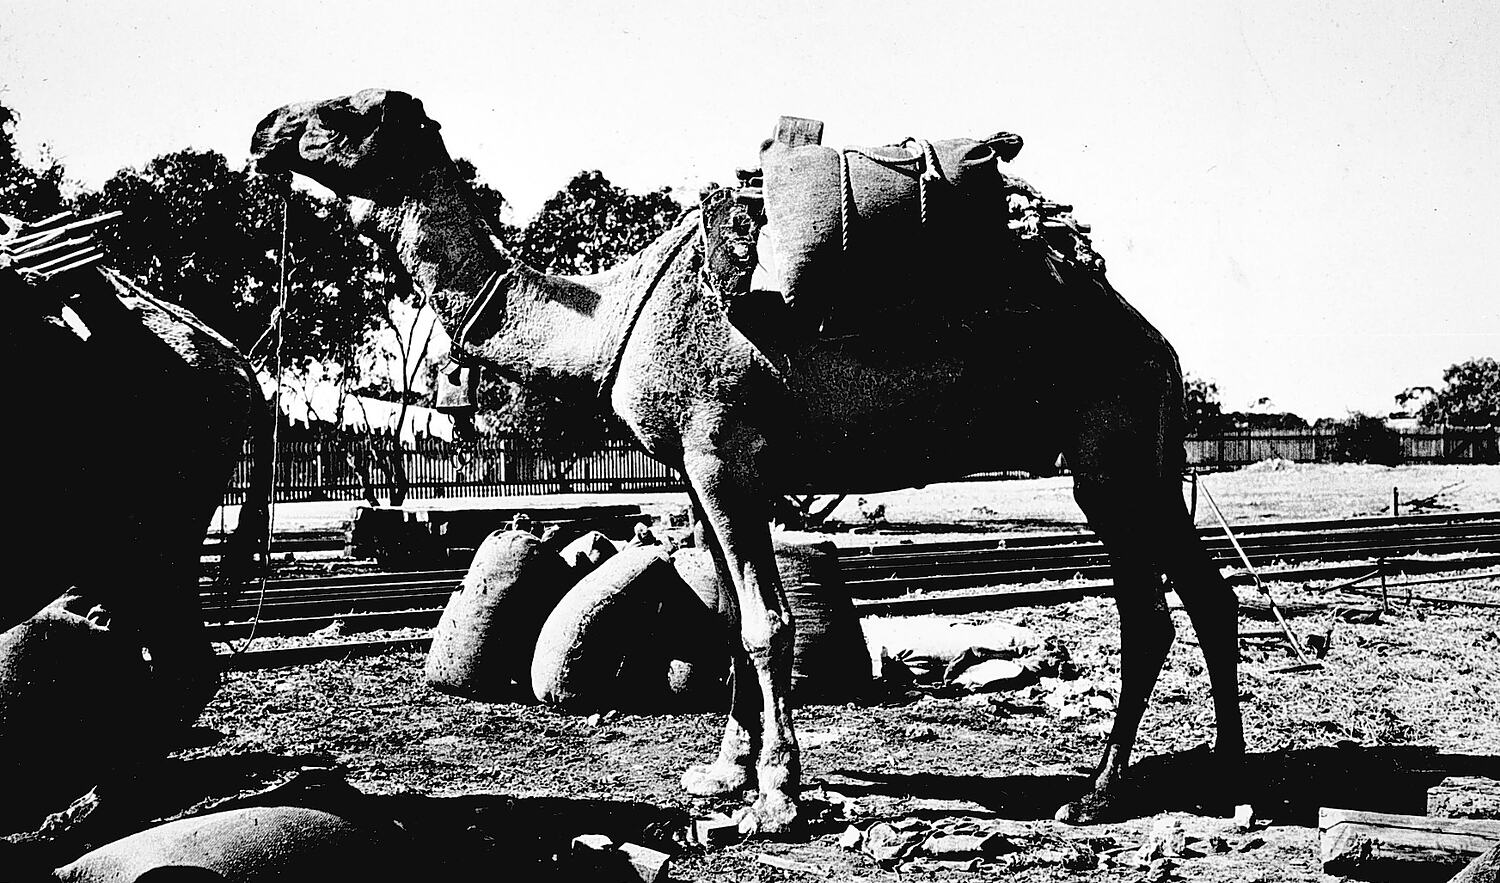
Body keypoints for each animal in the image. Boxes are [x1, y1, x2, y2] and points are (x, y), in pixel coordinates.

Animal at [255, 91, 1242, 833]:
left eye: (343, 110)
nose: (264, 129)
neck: (608, 317)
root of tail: (1154, 339)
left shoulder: (726, 454)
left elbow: (769, 623)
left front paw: (777, 794)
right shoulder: (695, 469)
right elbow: (728, 616)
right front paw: (723, 771)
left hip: (1112, 450)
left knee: (1148, 610)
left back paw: (1099, 793)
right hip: (1150, 454)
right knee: (1203, 594)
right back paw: (1224, 778)